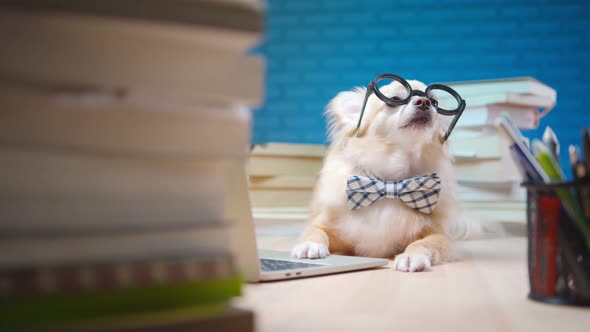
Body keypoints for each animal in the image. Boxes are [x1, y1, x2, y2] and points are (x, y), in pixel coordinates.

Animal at [292, 79, 462, 272]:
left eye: (435, 103)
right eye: (394, 99)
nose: (424, 102)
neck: (390, 181)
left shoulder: (441, 236)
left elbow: (423, 243)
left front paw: (412, 256)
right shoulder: (325, 225)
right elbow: (315, 230)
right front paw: (309, 245)